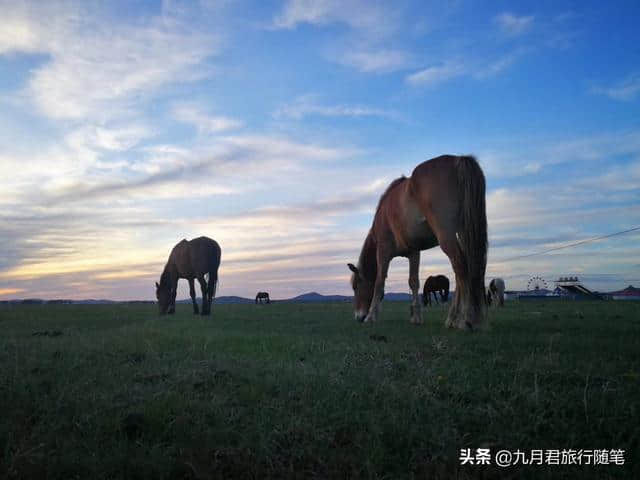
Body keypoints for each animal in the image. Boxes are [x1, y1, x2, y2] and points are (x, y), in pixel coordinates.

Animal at [348, 156, 488, 328]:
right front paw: (416, 317)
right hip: (463, 233)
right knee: (464, 271)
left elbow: (379, 281)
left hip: (447, 236)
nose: (358, 316)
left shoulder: (383, 251)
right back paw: (453, 319)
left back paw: (464, 319)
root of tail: (458, 160)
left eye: (355, 286)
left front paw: (371, 316)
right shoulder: (413, 252)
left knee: (461, 268)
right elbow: (413, 282)